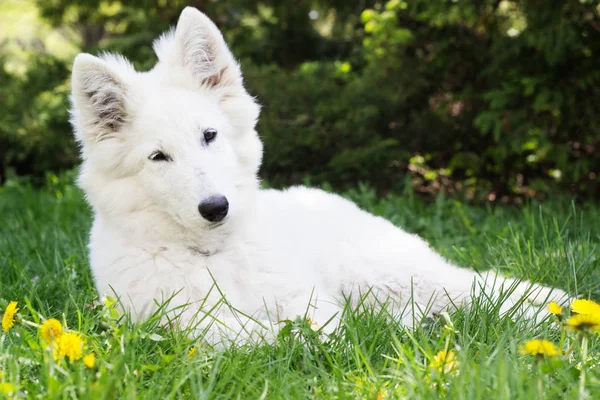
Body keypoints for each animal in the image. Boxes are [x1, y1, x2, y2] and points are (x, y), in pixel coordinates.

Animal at [71, 7, 568, 344]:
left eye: (209, 135)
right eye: (158, 157)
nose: (216, 208)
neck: (213, 255)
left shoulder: (307, 296)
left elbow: (313, 322)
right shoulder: (174, 323)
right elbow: (247, 332)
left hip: (384, 271)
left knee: (481, 290)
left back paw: (555, 311)